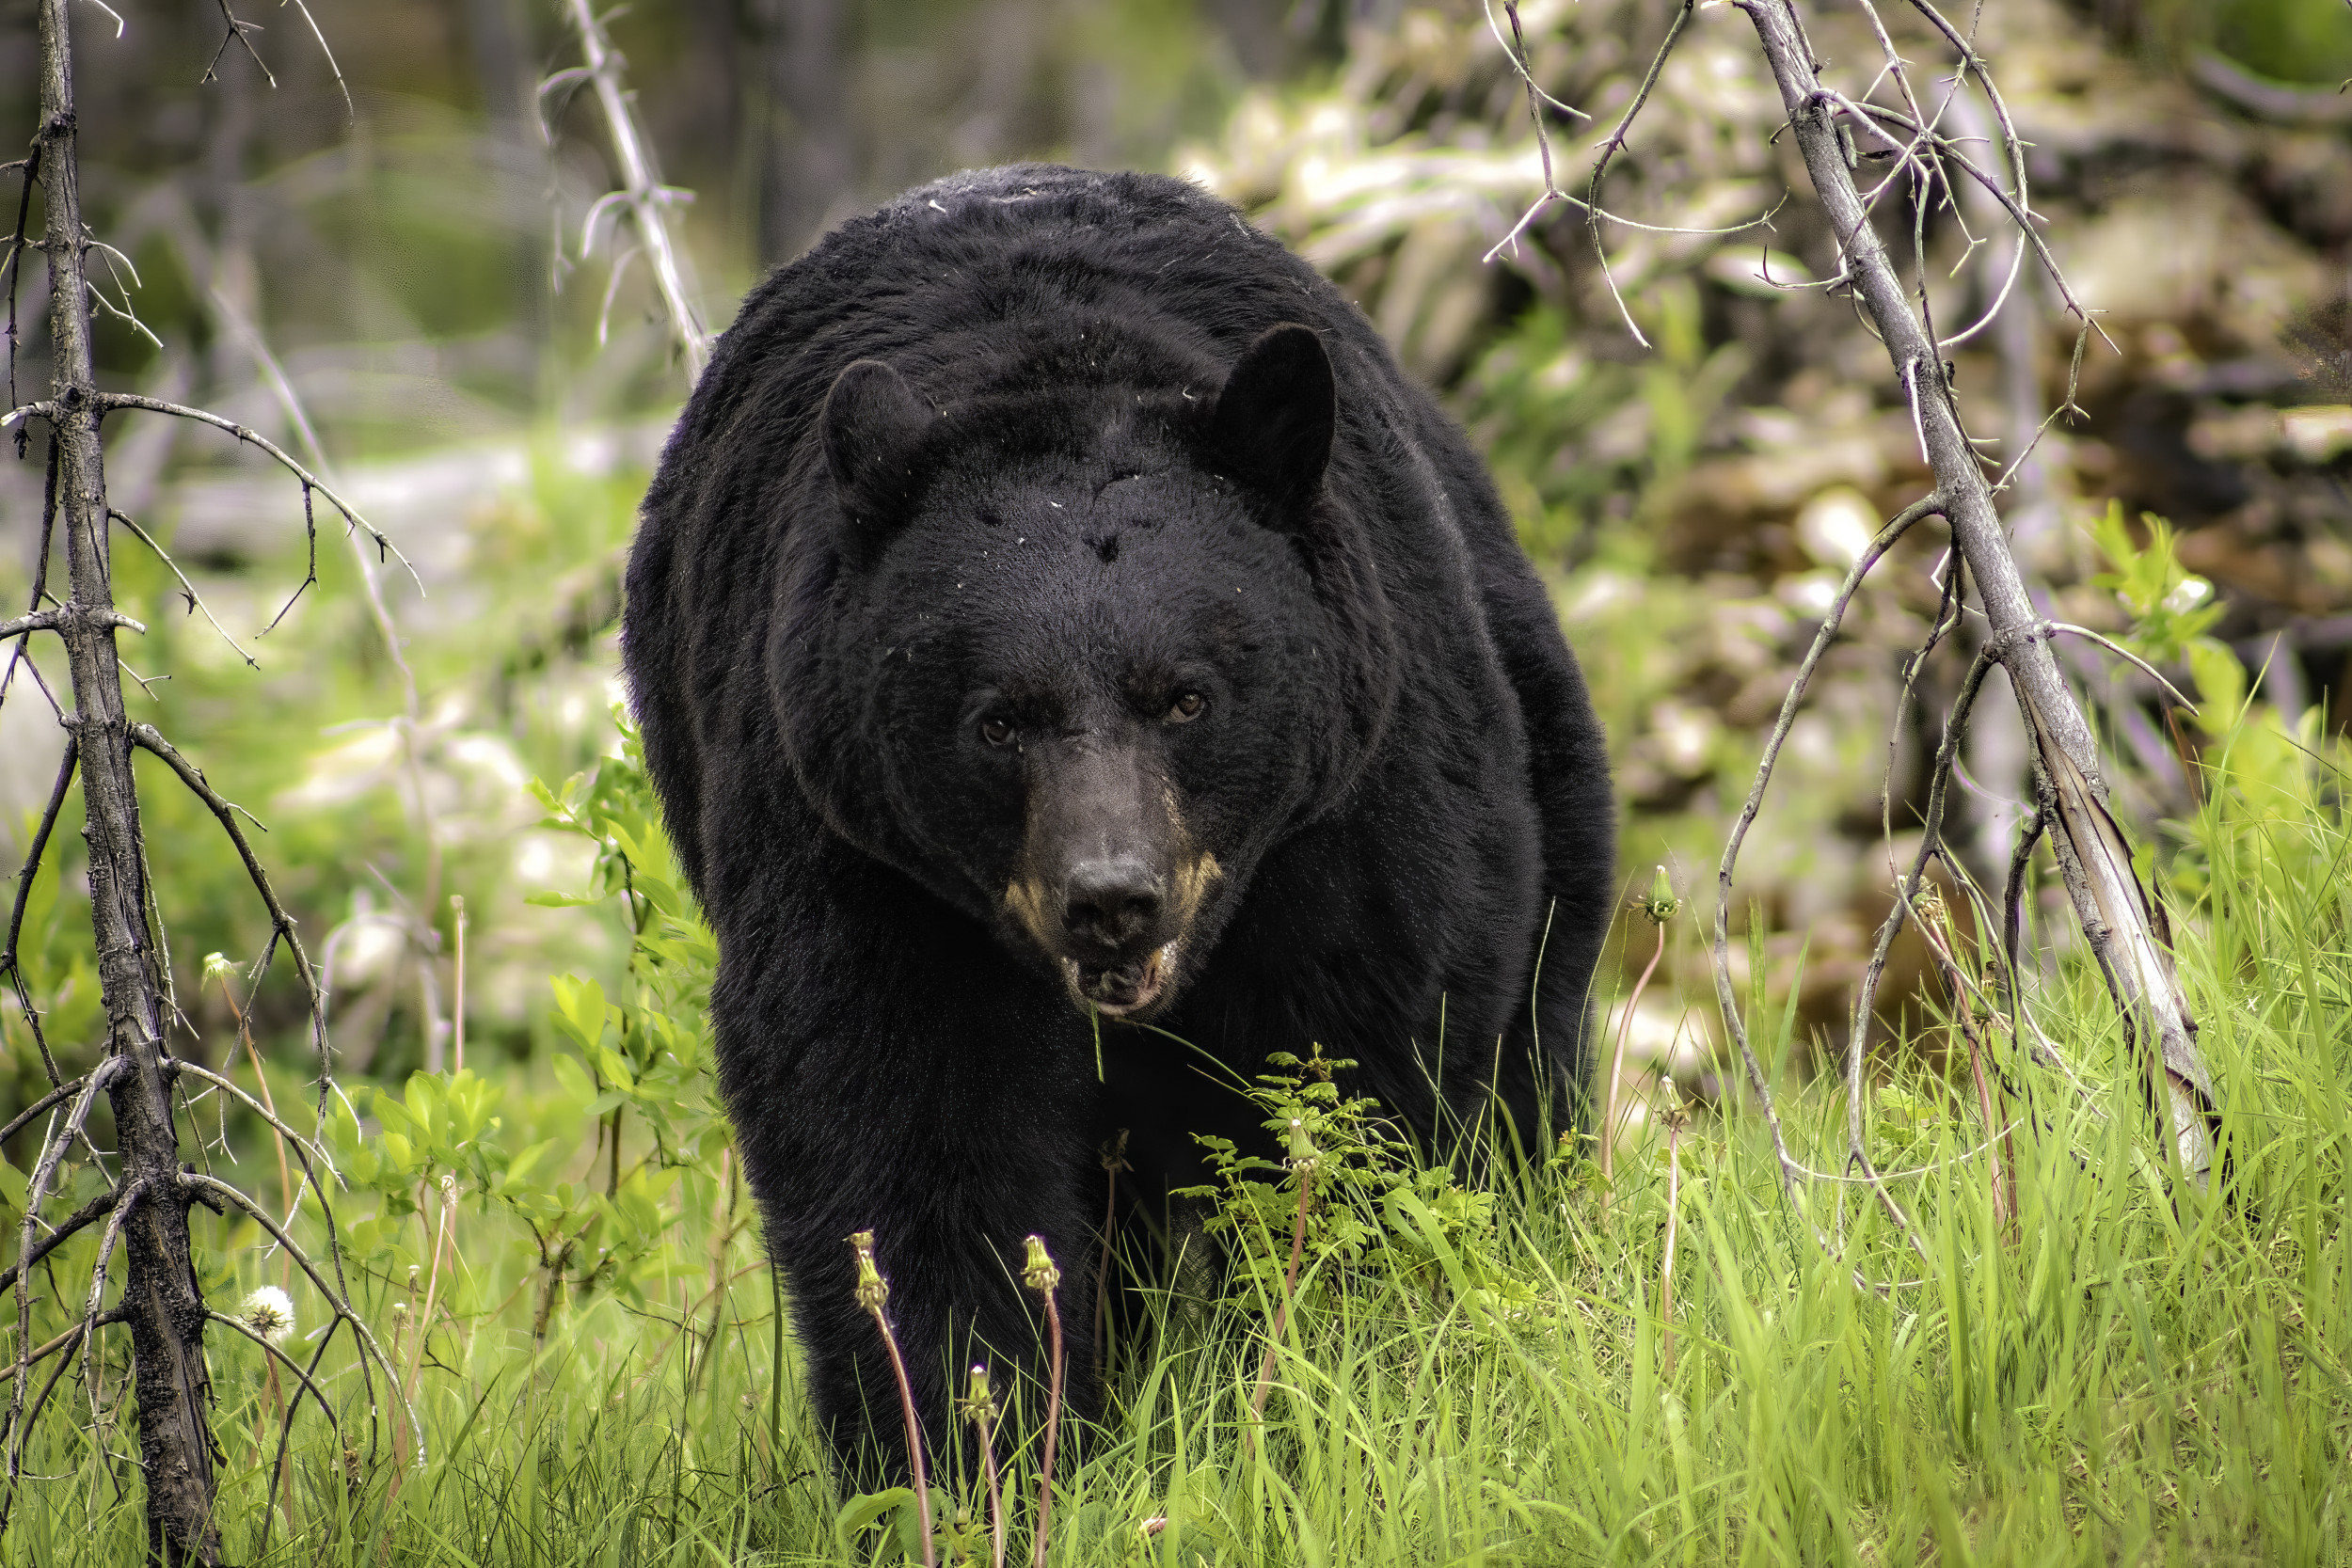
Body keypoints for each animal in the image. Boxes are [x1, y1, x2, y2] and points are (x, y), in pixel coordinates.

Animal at [621, 166, 1618, 1476]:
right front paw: (971, 1446)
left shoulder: (1354, 809)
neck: (1056, 365)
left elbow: (1359, 1075)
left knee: (1534, 1043)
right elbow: (907, 1130)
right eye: (999, 720)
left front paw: (1330, 1380)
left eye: (1186, 694)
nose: (1110, 896)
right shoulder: (853, 848)